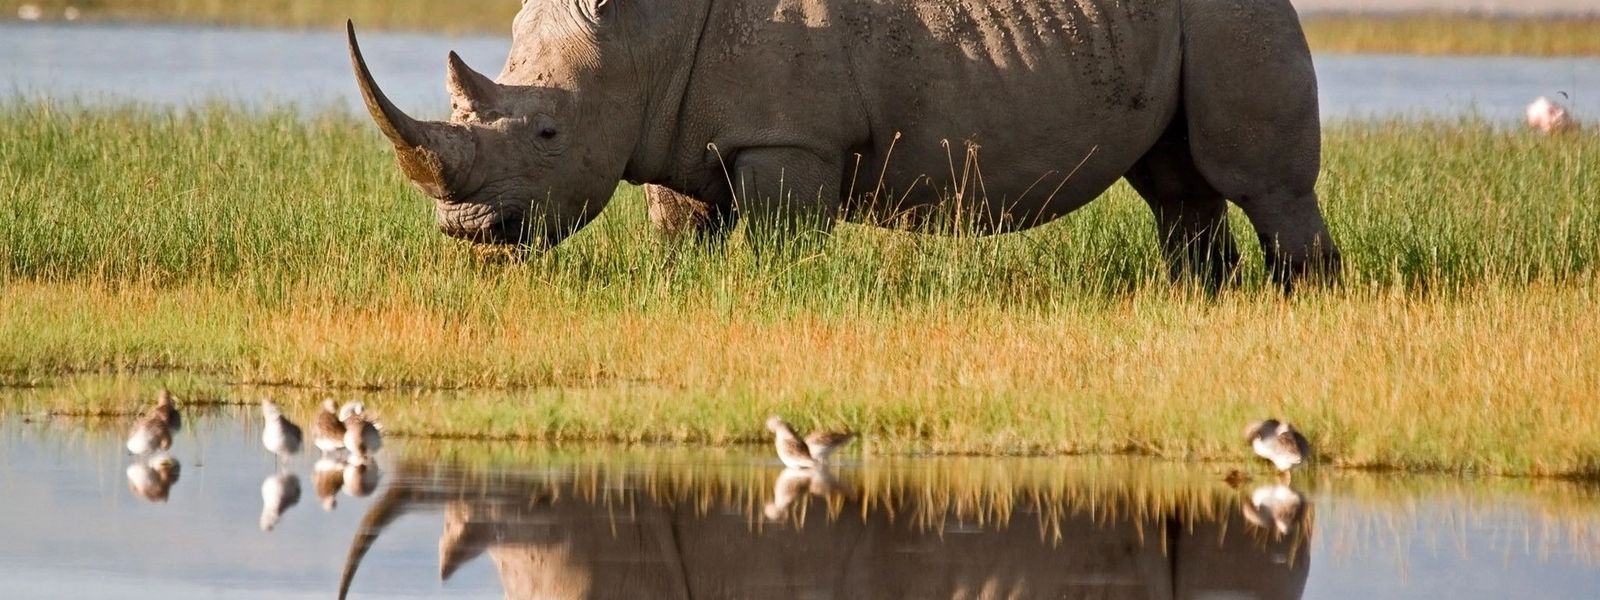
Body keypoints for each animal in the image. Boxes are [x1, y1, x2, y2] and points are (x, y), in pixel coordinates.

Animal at [347, 0, 1340, 288]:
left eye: (549, 132)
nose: (468, 234)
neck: (638, 36)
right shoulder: (675, 129)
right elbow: (681, 226)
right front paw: (683, 288)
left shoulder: (791, 139)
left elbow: (781, 237)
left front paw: (773, 293)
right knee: (1176, 185)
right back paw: (1202, 300)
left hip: (1237, 14)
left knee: (1260, 183)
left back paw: (1298, 301)